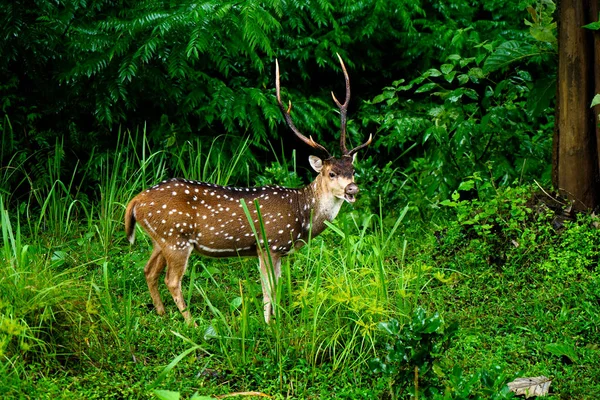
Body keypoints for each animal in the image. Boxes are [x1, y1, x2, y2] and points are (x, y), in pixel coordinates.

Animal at [125, 54, 372, 324]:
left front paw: (277, 320)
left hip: (160, 239)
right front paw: (268, 325)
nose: (352, 189)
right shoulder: (268, 244)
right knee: (171, 280)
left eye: (353, 169)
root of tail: (136, 200)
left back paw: (161, 313)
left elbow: (277, 286)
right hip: (175, 238)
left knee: (148, 270)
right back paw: (191, 324)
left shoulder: (278, 251)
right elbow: (268, 289)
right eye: (331, 173)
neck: (301, 215)